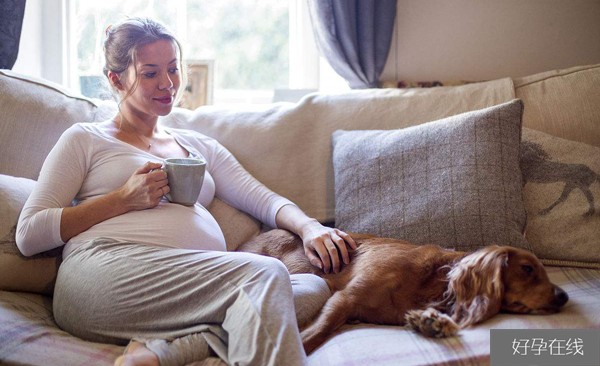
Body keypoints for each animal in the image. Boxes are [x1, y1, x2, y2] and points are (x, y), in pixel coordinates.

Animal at [237, 230, 568, 354]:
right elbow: (318, 331)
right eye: (528, 269)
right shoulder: (345, 298)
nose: (564, 297)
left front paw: (432, 323)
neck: (432, 280)